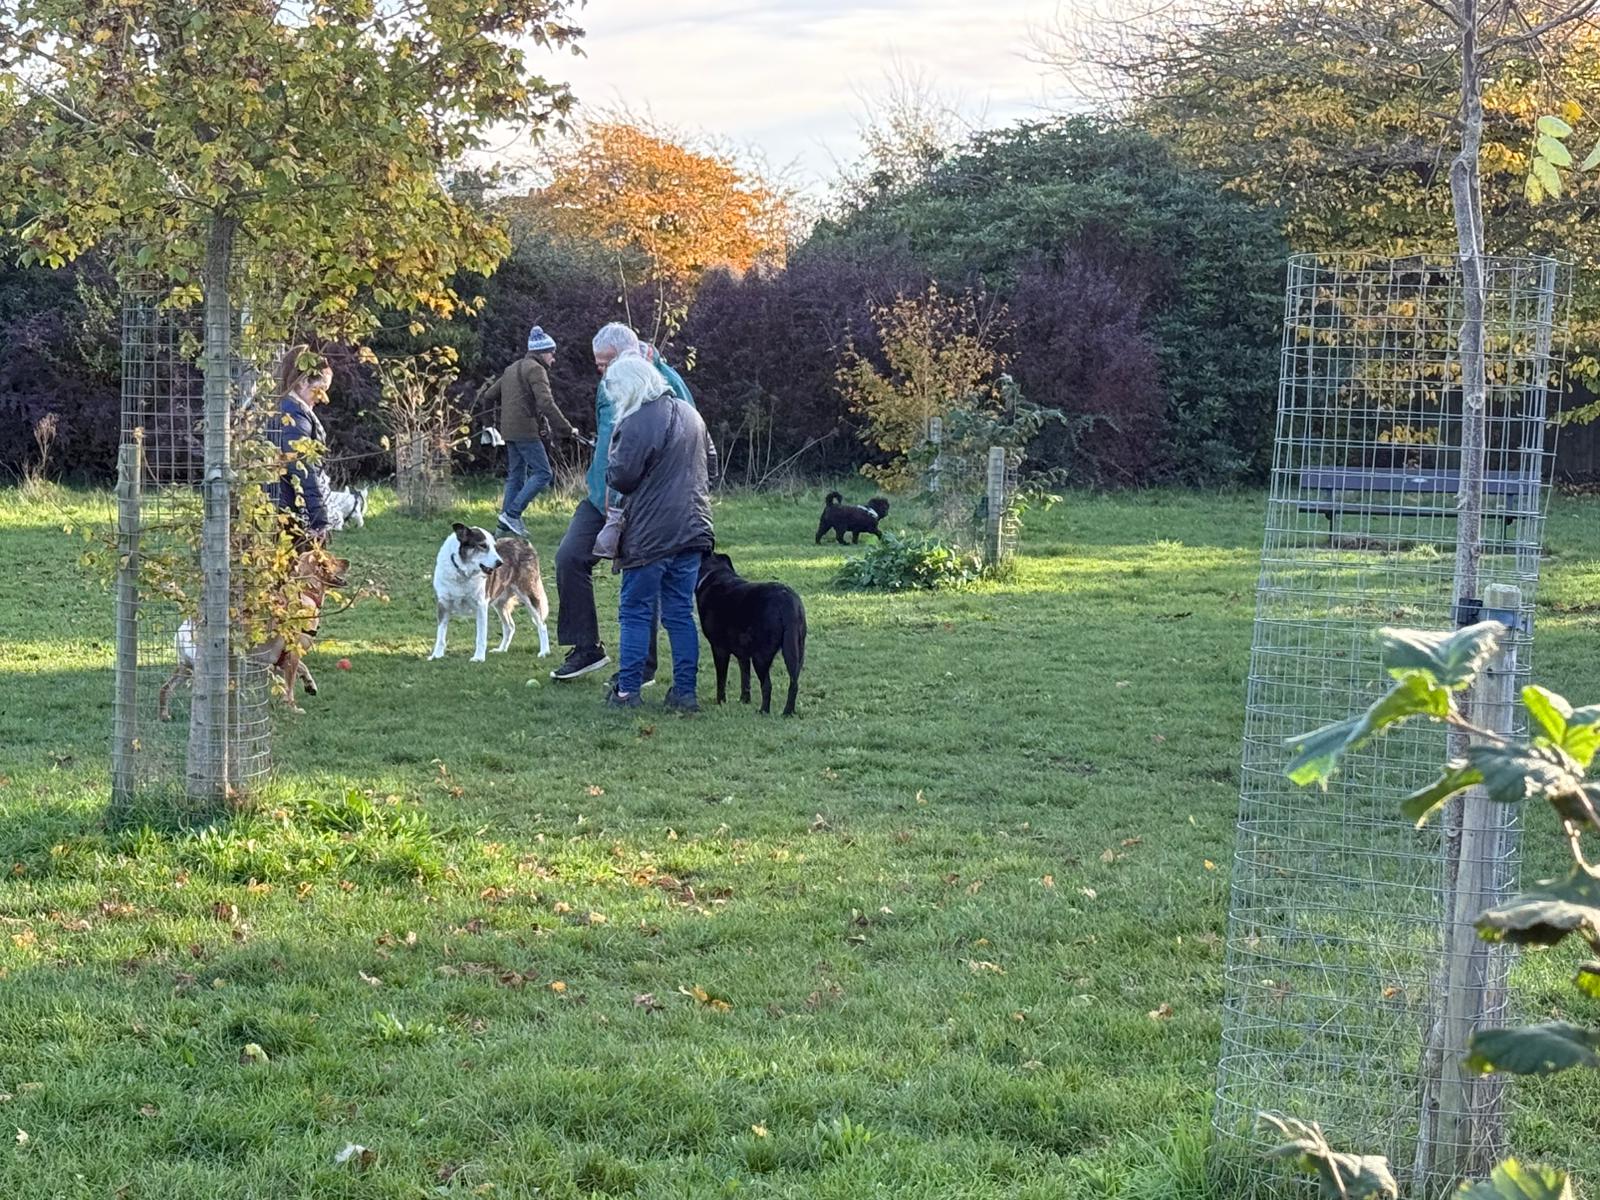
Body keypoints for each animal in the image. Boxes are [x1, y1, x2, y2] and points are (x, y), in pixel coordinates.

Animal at [432, 521, 550, 662]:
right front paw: (436, 655)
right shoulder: (443, 604)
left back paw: (544, 651)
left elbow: (481, 636)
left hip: (529, 594)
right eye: (482, 546)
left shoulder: (481, 605)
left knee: (542, 625)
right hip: (500, 604)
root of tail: (523, 542)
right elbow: (440, 635)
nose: (500, 563)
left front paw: (478, 658)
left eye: (495, 547)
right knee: (510, 626)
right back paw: (501, 650)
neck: (463, 574)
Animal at [694, 553, 806, 720]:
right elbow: (745, 676)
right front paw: (744, 700)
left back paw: (763, 711)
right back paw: (788, 712)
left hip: (760, 656)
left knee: (767, 686)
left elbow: (721, 679)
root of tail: (786, 601)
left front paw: (721, 702)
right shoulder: (743, 654)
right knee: (794, 683)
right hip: (796, 653)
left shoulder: (719, 648)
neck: (715, 573)